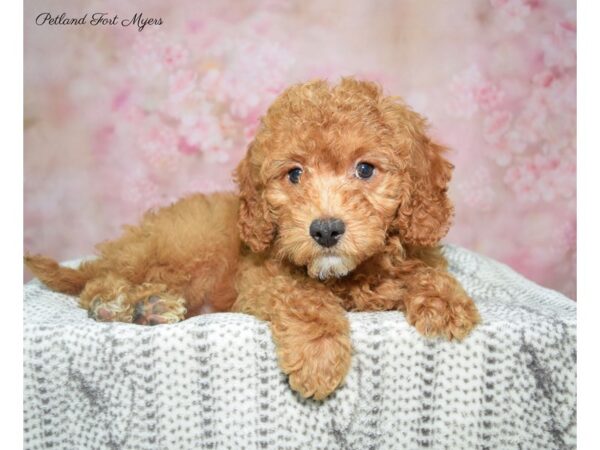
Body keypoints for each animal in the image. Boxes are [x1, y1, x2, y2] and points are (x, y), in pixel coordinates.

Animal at [27, 79, 478, 400]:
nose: (325, 230)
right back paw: (127, 304)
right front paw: (319, 357)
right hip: (183, 252)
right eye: (294, 174)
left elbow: (426, 270)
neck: (350, 274)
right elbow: (306, 298)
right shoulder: (261, 279)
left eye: (365, 169)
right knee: (98, 283)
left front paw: (447, 303)